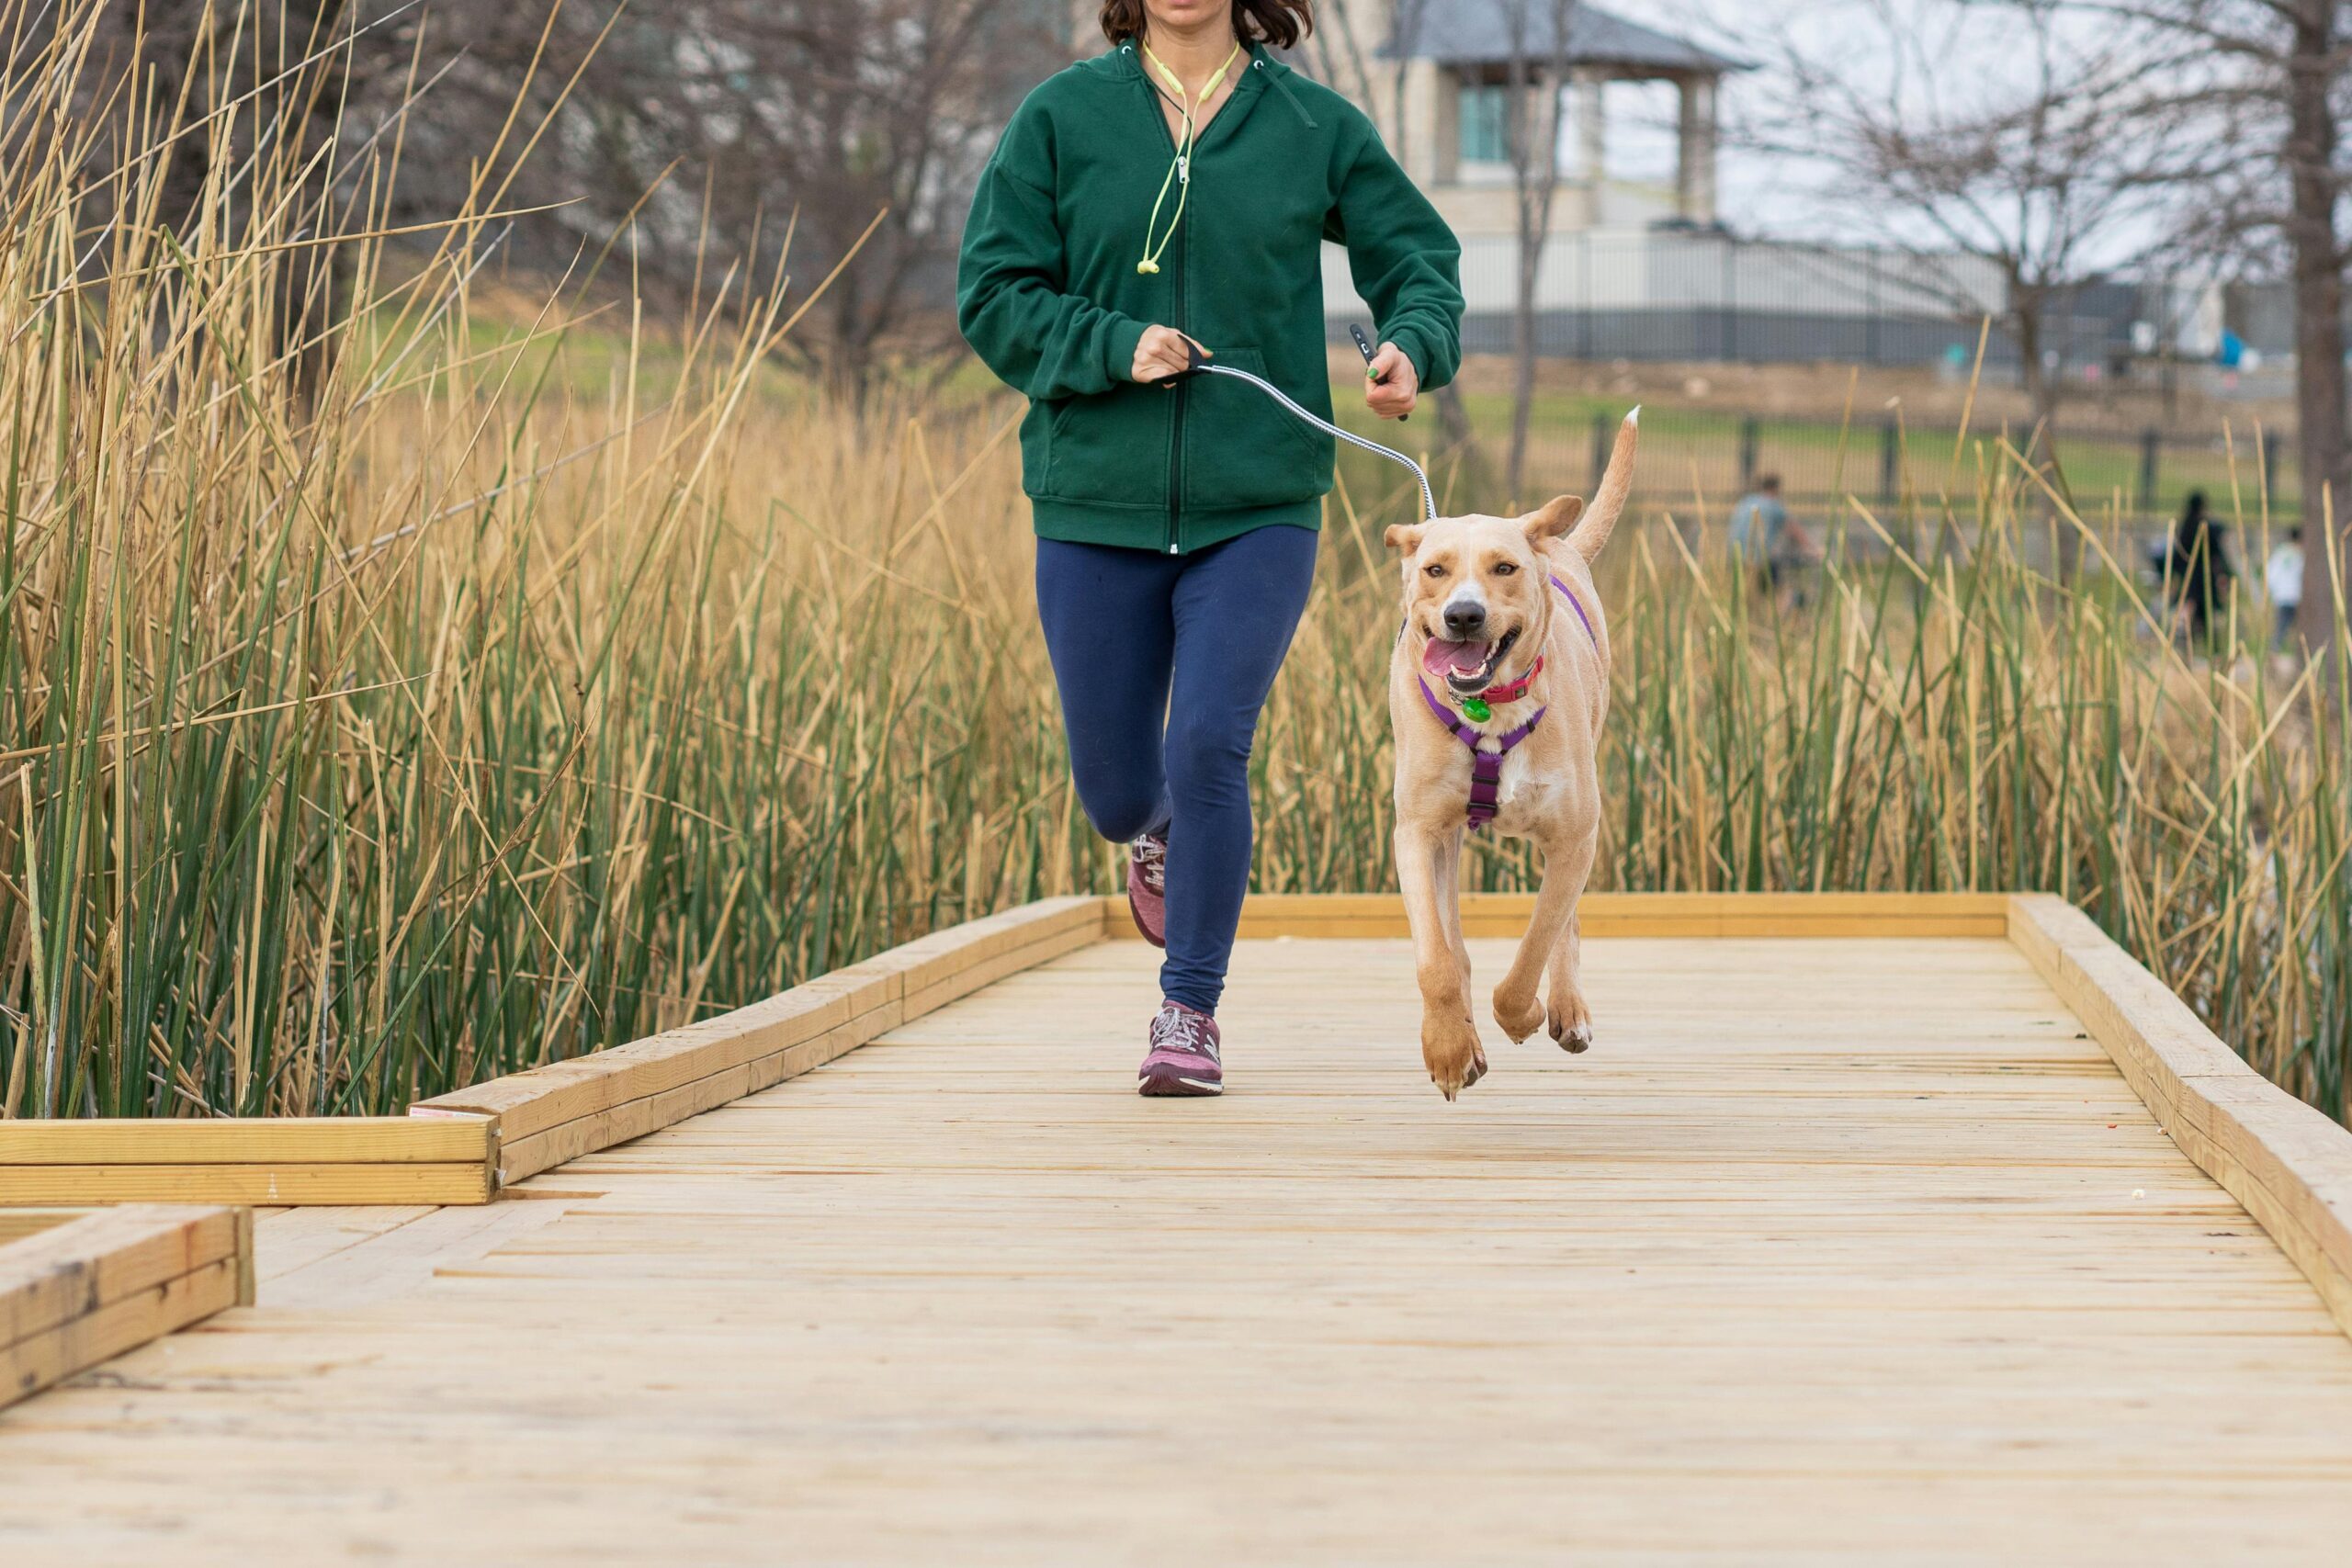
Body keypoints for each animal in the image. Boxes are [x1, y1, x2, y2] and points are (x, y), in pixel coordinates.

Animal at [1374, 413, 1636, 1104]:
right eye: (1434, 570)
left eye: (1505, 567)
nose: (1464, 615)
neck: (1487, 712)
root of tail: (1559, 544)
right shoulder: (1418, 831)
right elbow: (1437, 960)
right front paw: (1447, 1050)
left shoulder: (1573, 838)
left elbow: (1537, 943)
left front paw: (1523, 1014)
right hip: (1449, 841)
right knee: (1456, 945)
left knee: (1564, 924)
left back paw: (1566, 1009)